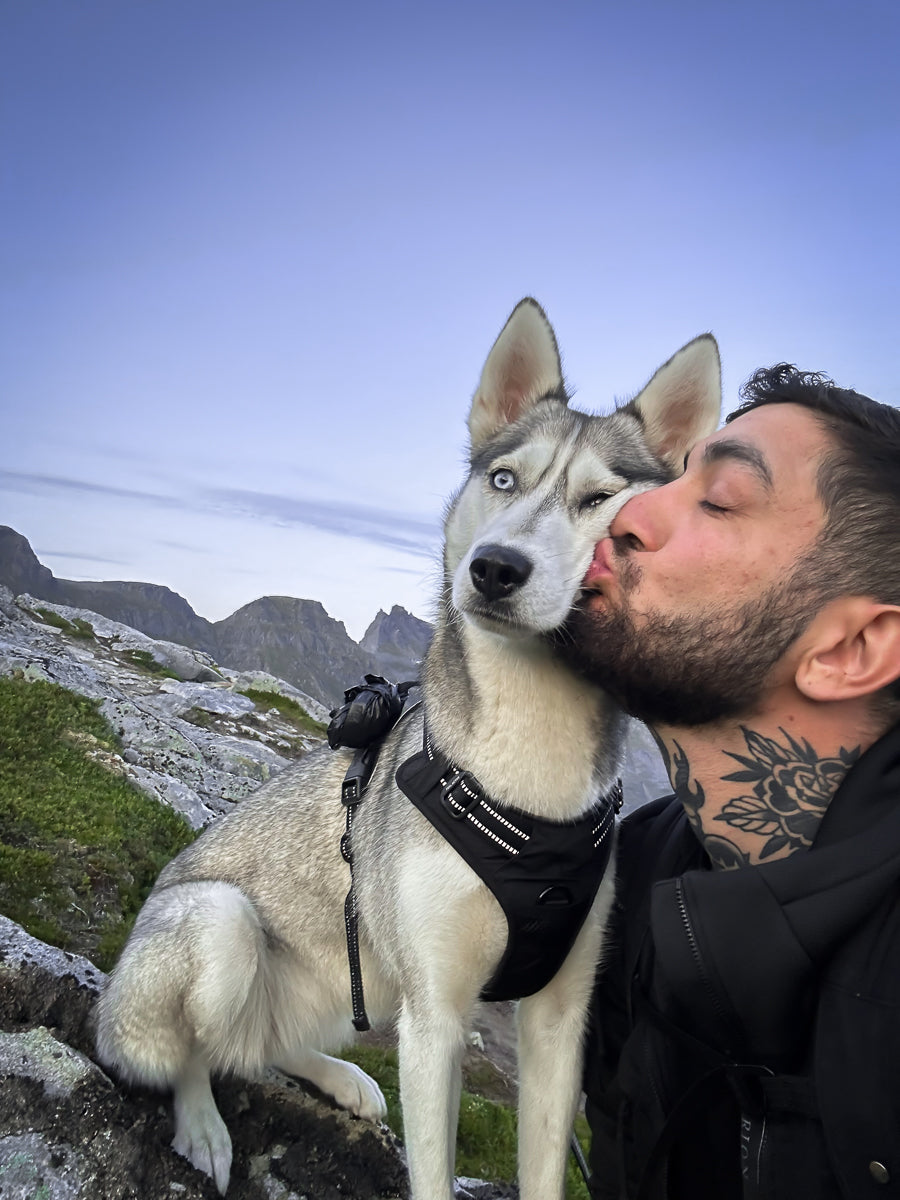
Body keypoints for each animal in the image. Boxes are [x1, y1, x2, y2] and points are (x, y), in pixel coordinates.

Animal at [95, 299, 721, 1200]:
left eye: (600, 499)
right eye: (504, 480)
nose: (495, 567)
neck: (525, 782)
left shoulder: (558, 1020)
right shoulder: (435, 1017)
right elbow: (431, 1172)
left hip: (346, 981)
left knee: (262, 1045)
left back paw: (340, 1078)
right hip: (218, 929)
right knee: (198, 1053)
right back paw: (204, 1126)